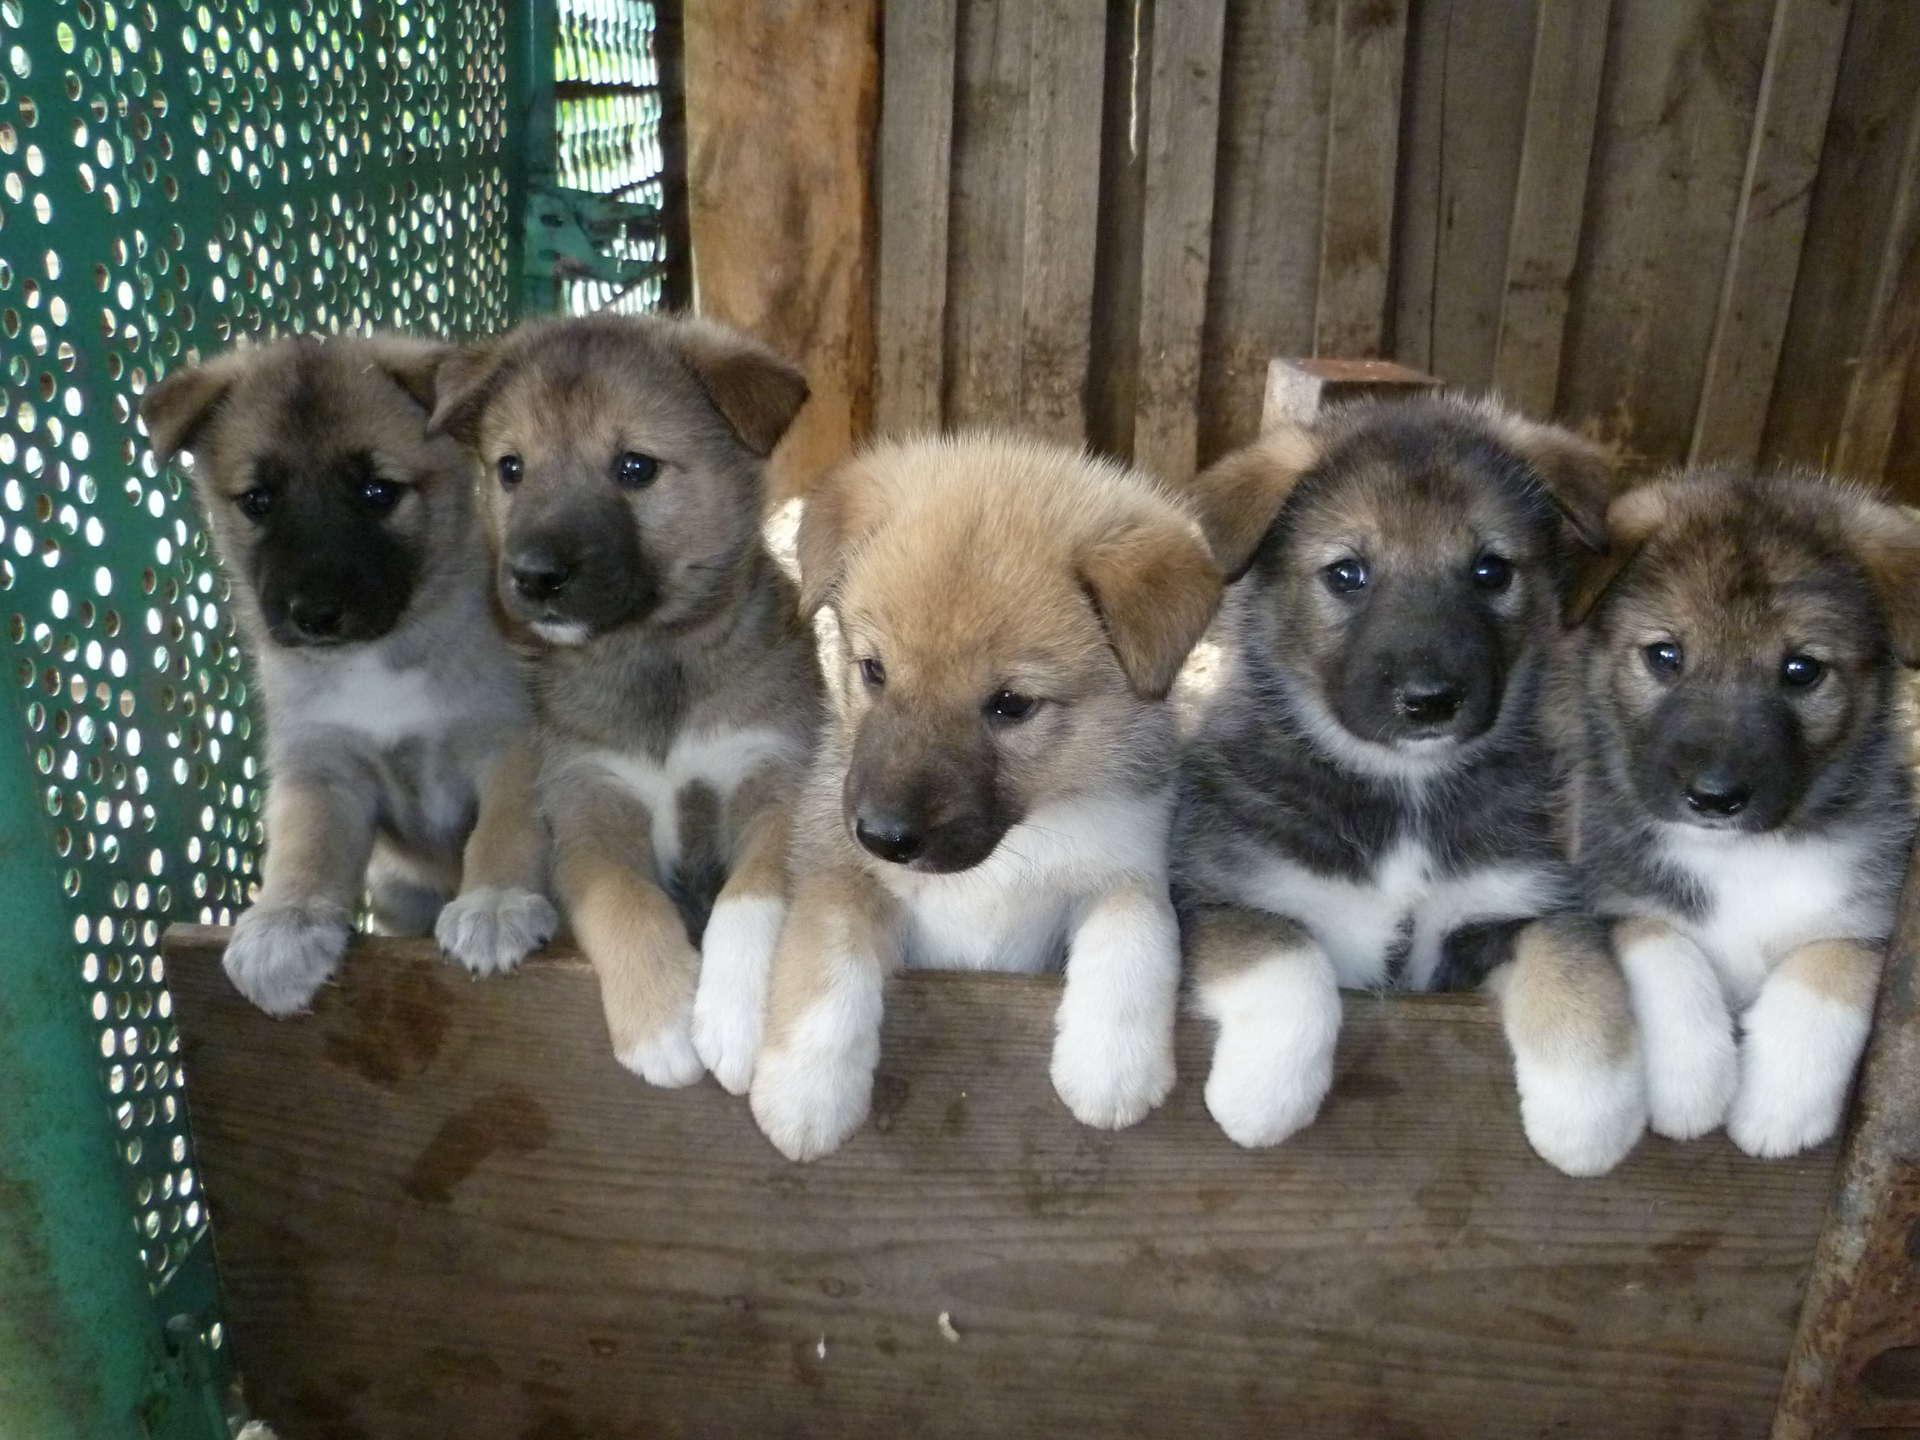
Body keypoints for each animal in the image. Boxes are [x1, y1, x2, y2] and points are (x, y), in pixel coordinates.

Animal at [142, 336, 556, 1013]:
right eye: (258, 501)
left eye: (377, 492)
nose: (314, 614)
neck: (377, 657)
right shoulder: (321, 769)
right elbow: (306, 847)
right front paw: (284, 925)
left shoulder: (511, 747)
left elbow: (505, 830)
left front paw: (495, 903)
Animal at [428, 311, 817, 1090]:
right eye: (511, 468)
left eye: (635, 467)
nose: (533, 576)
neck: (654, 663)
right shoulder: (589, 815)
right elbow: (626, 904)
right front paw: (662, 1025)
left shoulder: (774, 783)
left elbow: (752, 893)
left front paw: (734, 1017)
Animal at [741, 433, 1221, 1167]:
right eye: (874, 670)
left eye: (1011, 704)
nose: (883, 837)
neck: (1006, 855)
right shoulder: (836, 867)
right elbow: (825, 959)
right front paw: (806, 1093)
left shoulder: (1127, 863)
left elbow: (1135, 934)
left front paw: (1111, 1065)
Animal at [1175, 389, 1643, 1175]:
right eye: (1346, 573)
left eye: (1491, 570)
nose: (1431, 701)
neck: (1403, 796)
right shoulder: (1217, 897)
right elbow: (1284, 955)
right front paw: (1264, 1093)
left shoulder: (1511, 910)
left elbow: (1576, 968)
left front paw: (1588, 1115)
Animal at [1566, 470, 1912, 1159]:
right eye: (1665, 655)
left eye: (1801, 670)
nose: (1715, 798)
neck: (1742, 857)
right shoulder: (1613, 895)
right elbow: (1664, 949)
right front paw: (1689, 1083)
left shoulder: (1873, 919)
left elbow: (1825, 969)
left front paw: (1781, 1104)